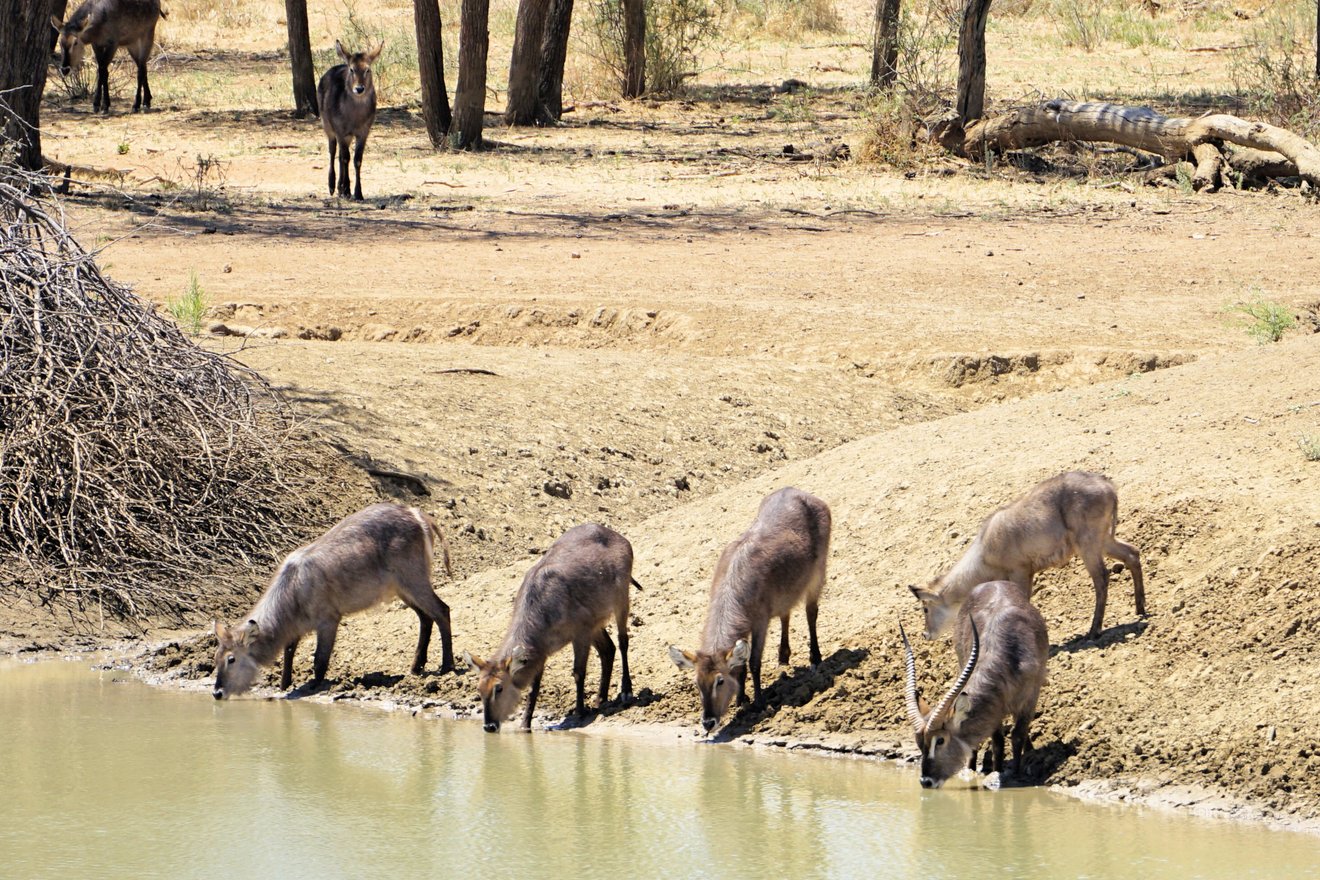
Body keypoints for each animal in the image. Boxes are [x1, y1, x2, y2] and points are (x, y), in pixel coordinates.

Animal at [315, 41, 380, 199]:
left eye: (367, 69)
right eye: (352, 69)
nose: (359, 88)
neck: (354, 119)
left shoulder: (363, 132)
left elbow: (357, 160)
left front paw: (357, 193)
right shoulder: (339, 130)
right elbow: (345, 158)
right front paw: (345, 189)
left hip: (348, 136)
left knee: (340, 155)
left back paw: (342, 189)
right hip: (327, 126)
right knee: (333, 151)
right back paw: (333, 187)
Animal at [464, 527, 638, 733]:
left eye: (499, 688)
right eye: (479, 689)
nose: (489, 726)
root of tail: (618, 536)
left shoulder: (580, 634)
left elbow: (578, 672)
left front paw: (579, 713)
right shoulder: (542, 650)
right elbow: (534, 687)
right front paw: (525, 725)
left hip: (621, 602)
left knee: (622, 641)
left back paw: (626, 691)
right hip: (597, 624)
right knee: (608, 649)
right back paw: (600, 699)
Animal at [897, 577, 1050, 791]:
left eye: (940, 740)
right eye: (919, 743)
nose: (926, 781)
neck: (1010, 659)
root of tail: (994, 582)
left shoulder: (1030, 697)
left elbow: (1017, 734)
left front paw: (1016, 773)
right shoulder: (996, 708)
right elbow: (997, 741)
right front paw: (997, 771)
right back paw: (970, 769)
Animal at [908, 474, 1145, 641]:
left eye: (925, 608)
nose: (925, 634)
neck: (985, 551)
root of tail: (1109, 488)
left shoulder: (1020, 571)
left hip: (1089, 544)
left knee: (1102, 578)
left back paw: (1093, 631)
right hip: (1104, 541)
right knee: (1132, 554)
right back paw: (1140, 609)